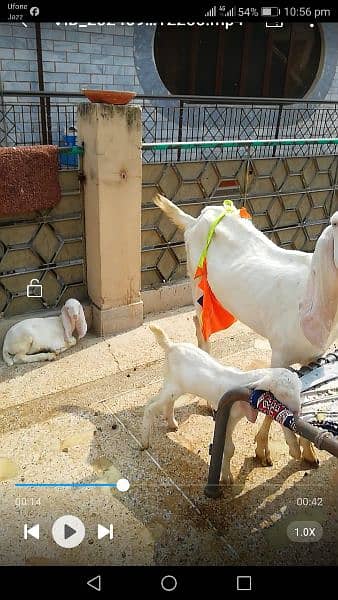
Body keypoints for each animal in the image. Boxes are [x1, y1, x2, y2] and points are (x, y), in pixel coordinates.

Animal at [154, 195, 338, 466]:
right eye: (336, 224)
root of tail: (194, 220)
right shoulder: (279, 353)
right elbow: (271, 403)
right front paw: (263, 450)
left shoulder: (316, 355)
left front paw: (308, 452)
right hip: (198, 283)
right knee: (200, 326)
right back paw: (208, 400)